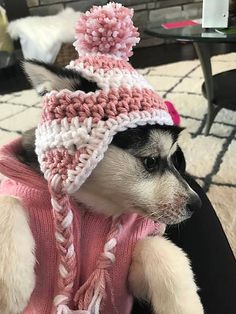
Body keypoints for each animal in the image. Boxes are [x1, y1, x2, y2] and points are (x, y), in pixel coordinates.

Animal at [0, 60, 204, 312]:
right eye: (150, 161)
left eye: (175, 159)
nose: (197, 203)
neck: (87, 206)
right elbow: (8, 198)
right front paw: (11, 281)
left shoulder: (127, 277)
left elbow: (155, 246)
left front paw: (183, 304)